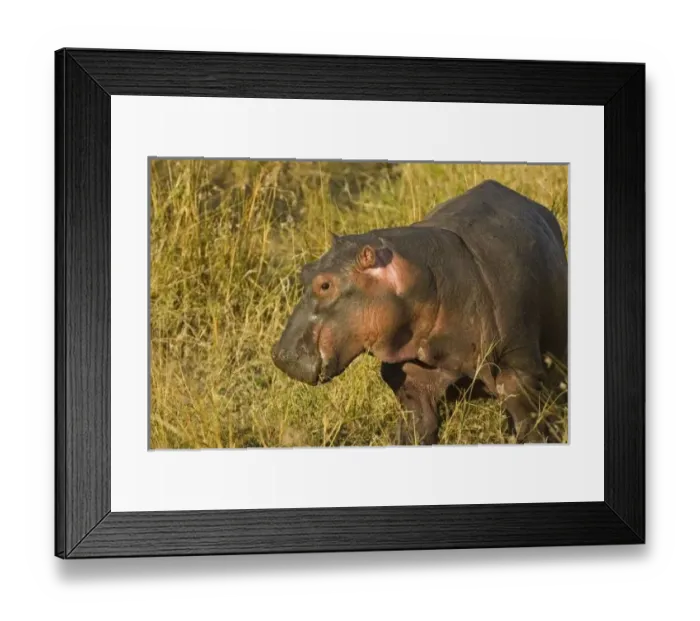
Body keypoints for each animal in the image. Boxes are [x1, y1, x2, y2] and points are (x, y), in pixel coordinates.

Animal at [271, 179, 568, 445]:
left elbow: (531, 424)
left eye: (325, 284)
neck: (421, 278)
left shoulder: (518, 371)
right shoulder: (412, 382)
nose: (280, 355)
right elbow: (418, 427)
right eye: (304, 270)